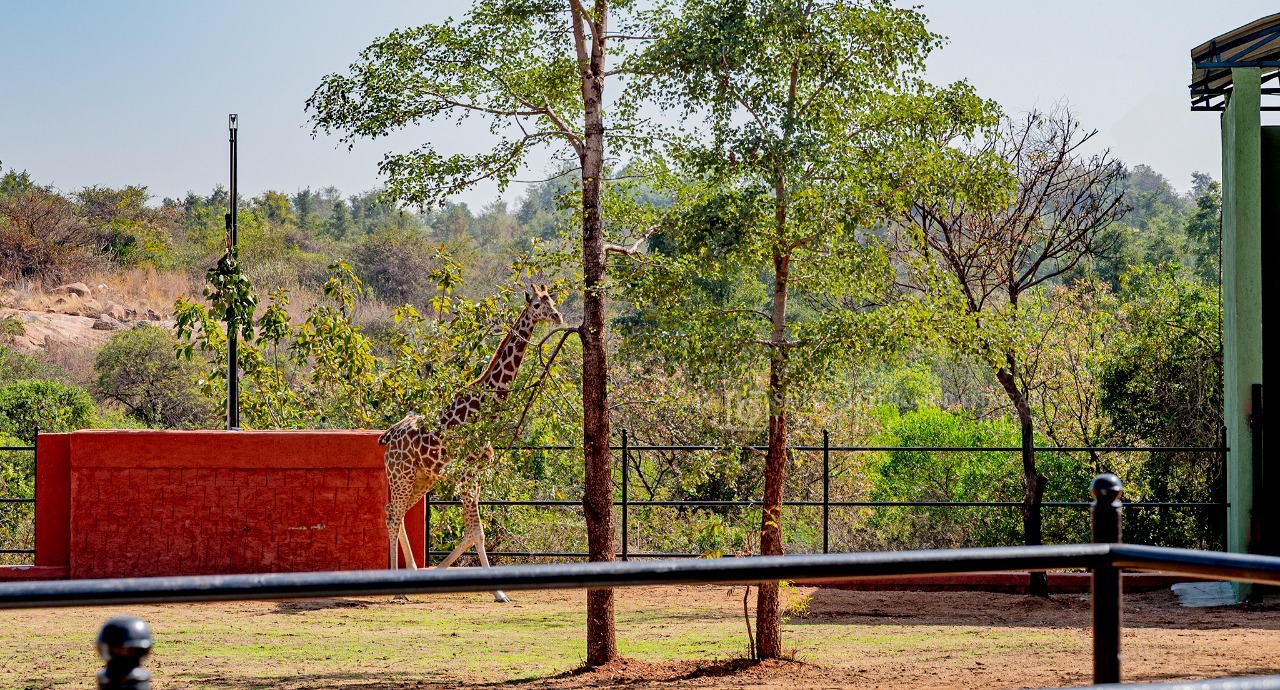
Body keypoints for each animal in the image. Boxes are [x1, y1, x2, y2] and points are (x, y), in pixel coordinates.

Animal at [376, 282, 563, 601]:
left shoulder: (477, 475)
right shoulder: (466, 475)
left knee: (393, 512)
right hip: (401, 474)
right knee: (393, 515)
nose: (558, 316)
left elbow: (472, 532)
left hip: (422, 477)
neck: (484, 408)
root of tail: (389, 435)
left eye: (552, 300)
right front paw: (498, 592)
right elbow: (477, 532)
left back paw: (410, 572)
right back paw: (397, 589)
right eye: (538, 305)